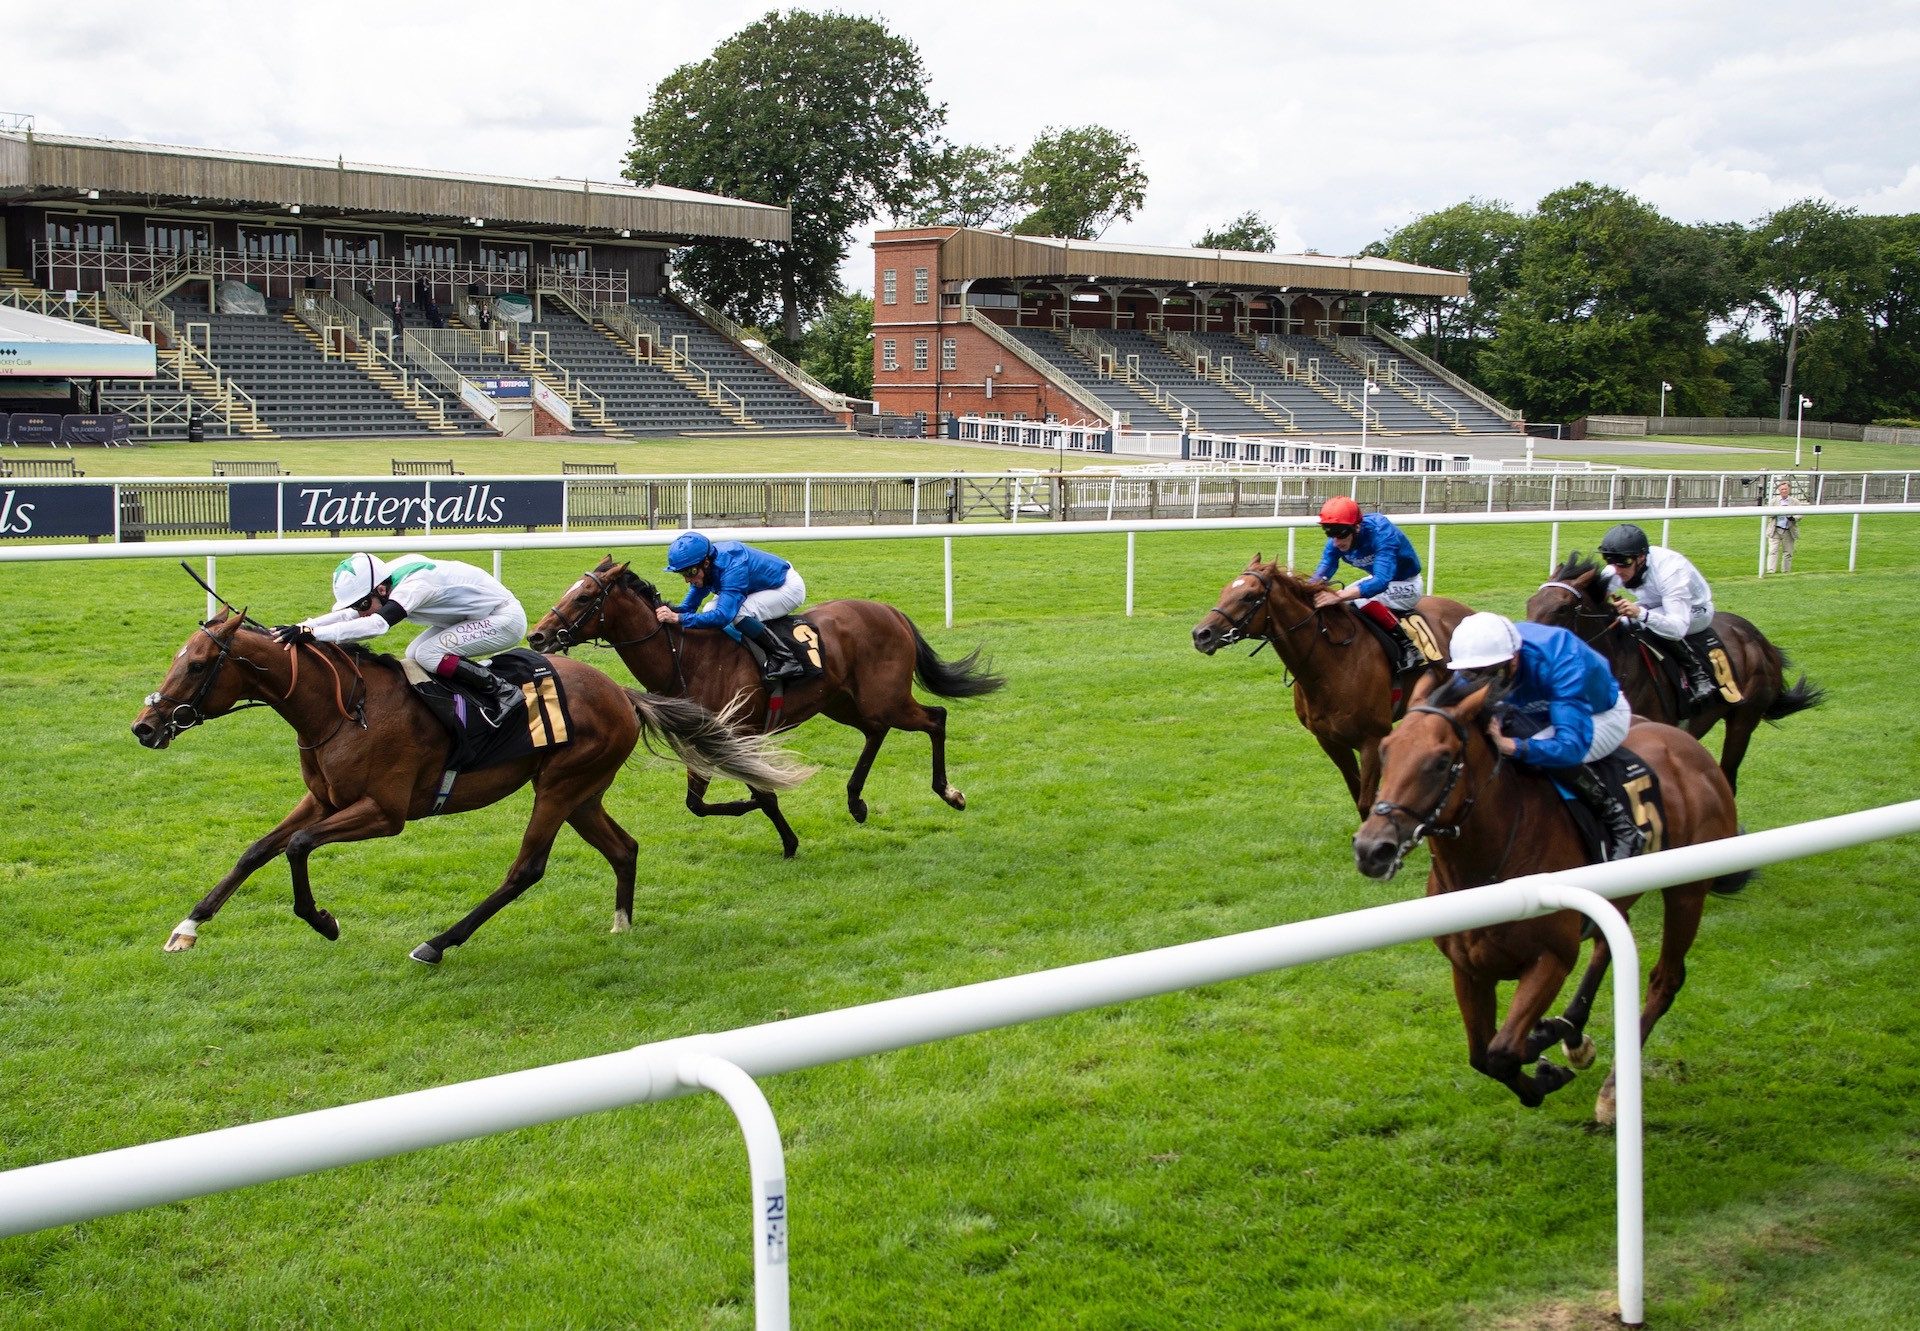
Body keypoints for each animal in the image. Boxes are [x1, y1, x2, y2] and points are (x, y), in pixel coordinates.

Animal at [131, 606, 810, 960]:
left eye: (197, 664)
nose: (145, 726)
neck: (342, 709)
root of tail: (621, 691)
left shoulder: (384, 812)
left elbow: (297, 848)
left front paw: (323, 920)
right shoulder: (322, 798)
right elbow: (257, 849)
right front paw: (187, 927)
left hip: (558, 788)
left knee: (526, 869)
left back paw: (439, 942)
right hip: (581, 792)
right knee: (624, 848)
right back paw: (620, 922)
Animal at [526, 556, 1006, 856]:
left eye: (584, 597)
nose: (538, 636)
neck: (689, 656)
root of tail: (890, 610)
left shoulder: (739, 734)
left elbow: (760, 793)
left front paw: (783, 835)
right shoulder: (705, 739)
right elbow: (698, 804)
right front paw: (758, 814)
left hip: (885, 698)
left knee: (935, 718)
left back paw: (949, 793)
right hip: (842, 701)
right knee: (876, 731)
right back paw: (856, 801)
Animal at [1190, 556, 1474, 814]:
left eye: (1249, 596)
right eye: (1225, 590)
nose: (1201, 634)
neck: (1333, 662)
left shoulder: (1373, 738)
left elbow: (1368, 802)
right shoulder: (1329, 740)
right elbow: (1358, 795)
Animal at [1351, 676, 1743, 1121]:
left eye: (1441, 760)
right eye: (1386, 749)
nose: (1371, 849)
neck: (1487, 870)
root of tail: (1694, 751)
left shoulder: (1550, 959)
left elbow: (1502, 1051)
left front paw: (1545, 1063)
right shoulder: (1467, 968)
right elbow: (1480, 1055)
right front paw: (1550, 1046)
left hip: (1687, 892)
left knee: (1665, 979)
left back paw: (1611, 1090)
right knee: (1610, 938)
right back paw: (1572, 1034)